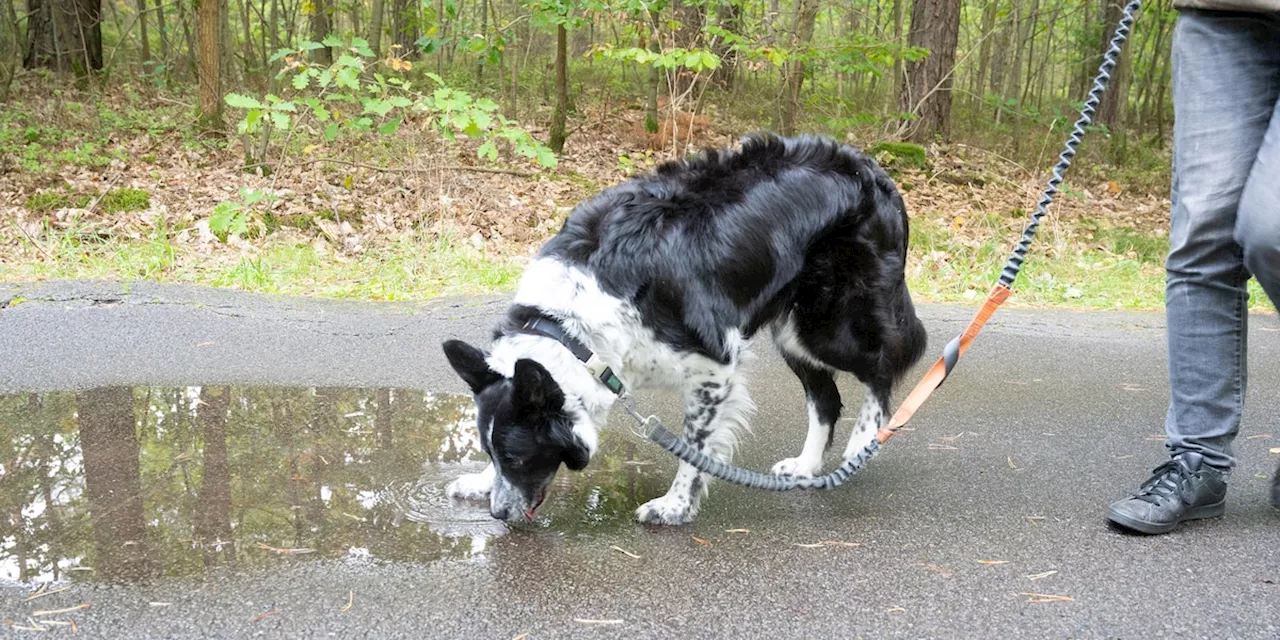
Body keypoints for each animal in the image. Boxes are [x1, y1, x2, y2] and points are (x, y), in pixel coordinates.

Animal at [445, 133, 926, 524]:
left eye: (518, 458)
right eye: (493, 454)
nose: (499, 515)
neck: (572, 330)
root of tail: (873, 170)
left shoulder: (715, 367)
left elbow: (693, 448)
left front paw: (675, 506)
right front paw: (480, 482)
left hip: (828, 325)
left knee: (886, 363)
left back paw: (865, 439)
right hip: (793, 333)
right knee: (826, 398)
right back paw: (807, 467)